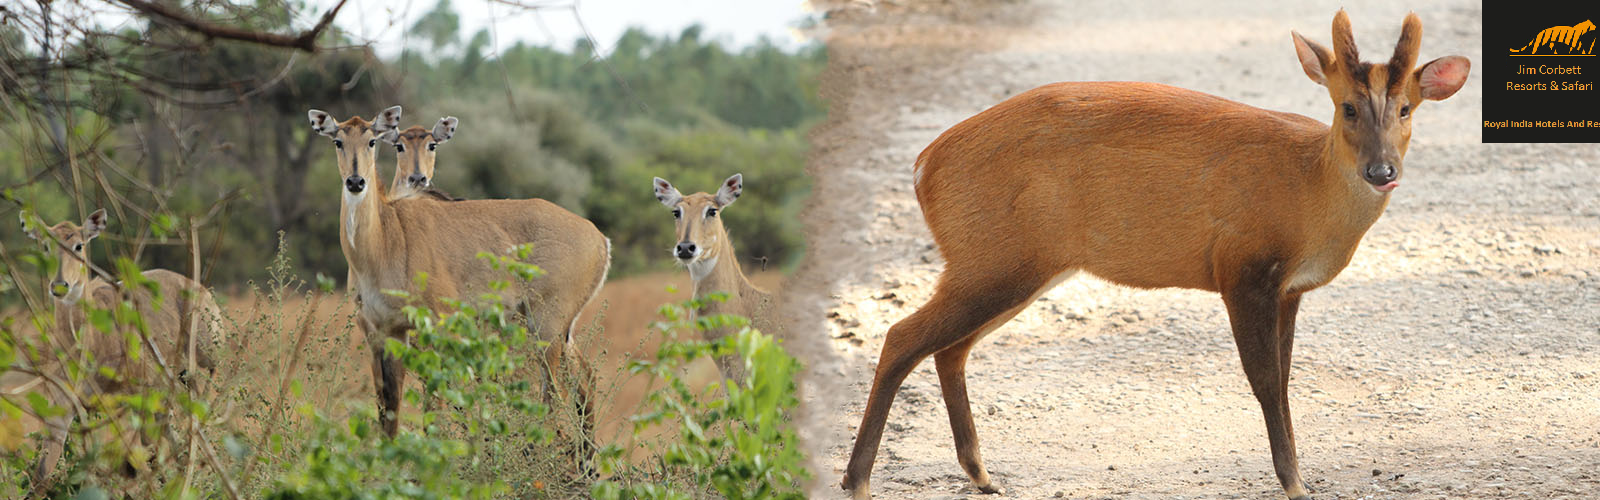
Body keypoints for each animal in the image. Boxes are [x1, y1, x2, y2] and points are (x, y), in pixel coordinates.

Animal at [8, 208, 225, 496]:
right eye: (45, 245)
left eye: (79, 245)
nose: (60, 286)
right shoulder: (64, 407)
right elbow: (42, 474)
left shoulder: (133, 398)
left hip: (200, 369)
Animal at [307, 106, 611, 458]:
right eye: (338, 141)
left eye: (371, 140)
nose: (355, 181)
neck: (385, 238)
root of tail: (599, 238)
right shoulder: (381, 331)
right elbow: (388, 407)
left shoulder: (439, 325)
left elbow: (436, 401)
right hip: (556, 329)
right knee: (585, 380)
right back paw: (585, 461)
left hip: (546, 326)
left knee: (553, 393)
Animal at [844, 10, 1465, 500]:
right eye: (1347, 108)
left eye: (1406, 109)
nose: (1382, 171)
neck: (1308, 192)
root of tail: (924, 166)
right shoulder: (1242, 267)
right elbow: (1265, 381)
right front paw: (1295, 484)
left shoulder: (1290, 289)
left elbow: (1286, 379)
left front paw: (1296, 476)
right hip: (994, 256)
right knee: (902, 337)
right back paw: (859, 480)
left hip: (1011, 263)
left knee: (950, 349)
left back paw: (981, 475)